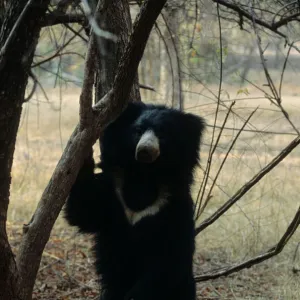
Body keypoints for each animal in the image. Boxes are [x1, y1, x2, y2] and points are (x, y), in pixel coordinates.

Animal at [64, 101, 205, 300]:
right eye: (138, 131)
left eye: (162, 134)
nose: (145, 150)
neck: (143, 174)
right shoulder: (112, 194)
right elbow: (84, 211)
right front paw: (83, 153)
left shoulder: (174, 206)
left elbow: (169, 257)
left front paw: (134, 296)